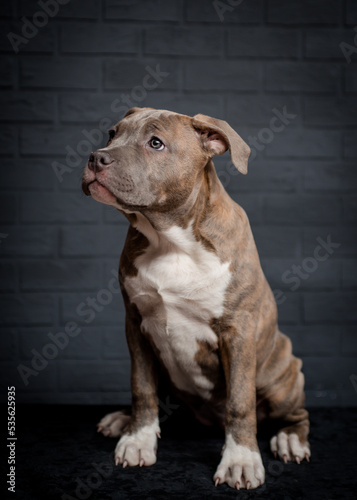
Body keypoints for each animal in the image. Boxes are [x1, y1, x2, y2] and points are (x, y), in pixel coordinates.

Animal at [81, 106, 308, 488]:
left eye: (156, 143)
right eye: (112, 134)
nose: (97, 157)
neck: (171, 241)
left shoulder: (238, 332)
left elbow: (240, 401)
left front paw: (240, 460)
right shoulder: (135, 324)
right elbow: (142, 387)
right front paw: (138, 439)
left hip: (282, 376)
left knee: (295, 412)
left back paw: (290, 438)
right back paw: (121, 419)